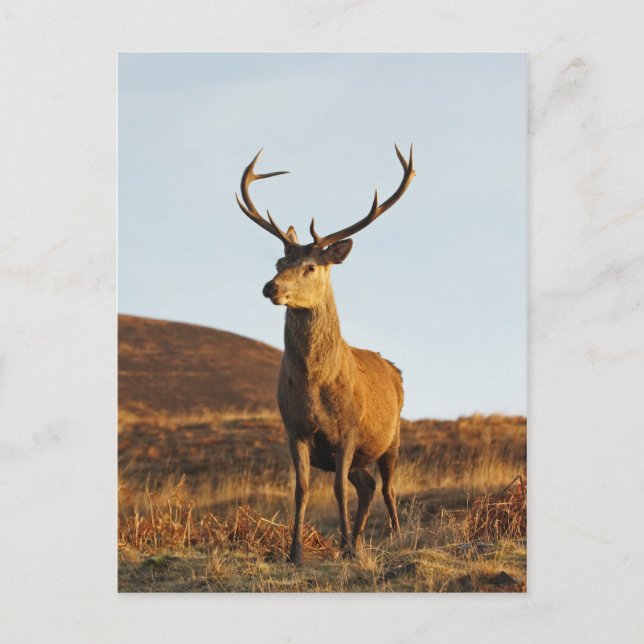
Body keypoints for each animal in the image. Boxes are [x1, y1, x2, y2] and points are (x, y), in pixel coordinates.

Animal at [234, 145, 415, 565]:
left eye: (311, 267)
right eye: (279, 262)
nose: (270, 287)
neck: (314, 385)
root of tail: (394, 369)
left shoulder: (347, 430)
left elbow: (337, 491)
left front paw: (344, 548)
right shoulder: (295, 429)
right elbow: (301, 490)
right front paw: (295, 553)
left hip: (392, 437)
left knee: (386, 487)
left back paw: (391, 537)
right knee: (366, 485)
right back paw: (358, 541)